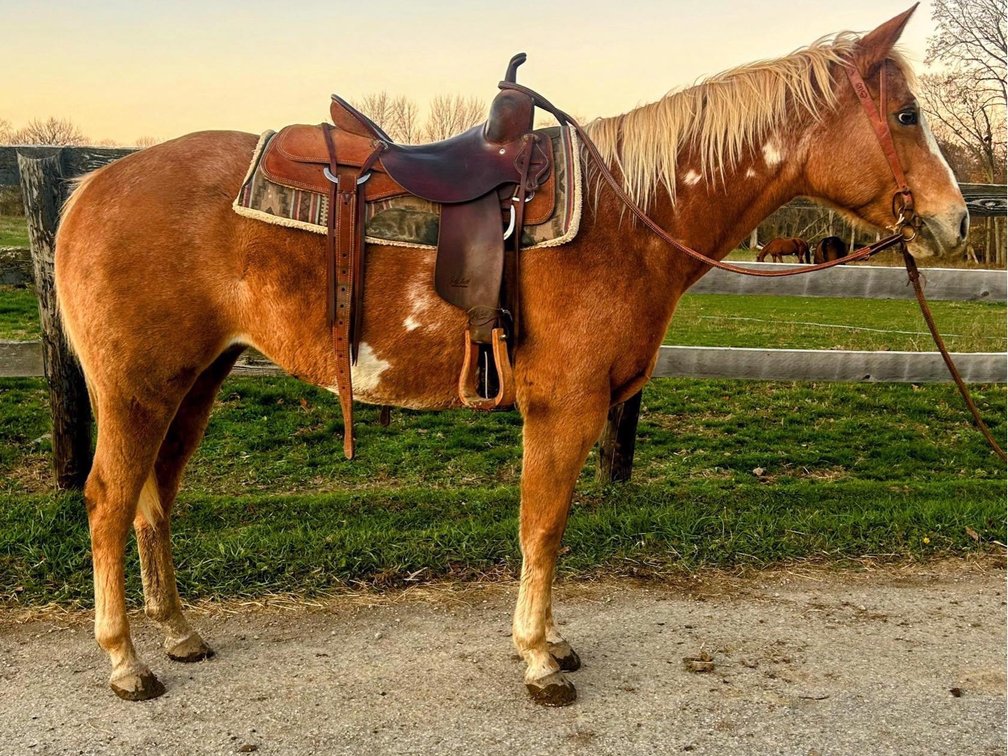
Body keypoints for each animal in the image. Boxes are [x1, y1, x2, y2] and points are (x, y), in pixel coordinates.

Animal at [54, 7, 967, 705]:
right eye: (906, 116)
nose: (955, 221)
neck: (626, 218)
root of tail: (92, 186)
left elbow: (545, 531)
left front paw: (552, 644)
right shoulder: (564, 410)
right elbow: (544, 529)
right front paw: (538, 660)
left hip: (193, 383)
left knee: (152, 502)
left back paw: (178, 634)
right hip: (140, 388)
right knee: (107, 502)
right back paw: (126, 662)